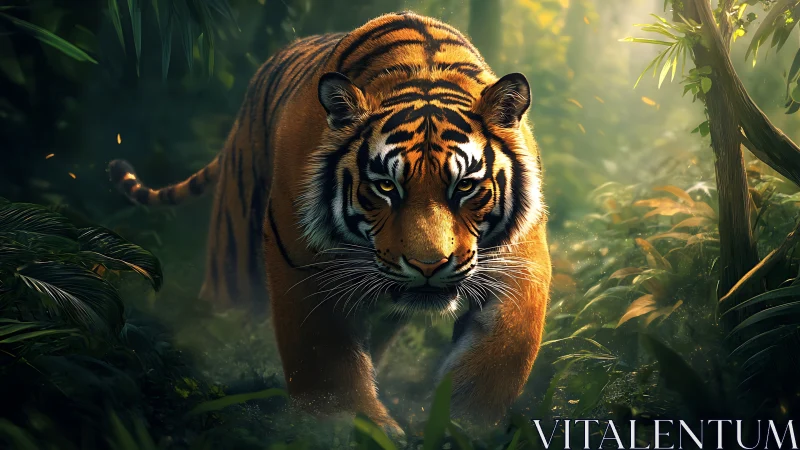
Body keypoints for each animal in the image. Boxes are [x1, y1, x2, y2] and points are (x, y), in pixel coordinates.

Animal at [109, 12, 551, 433]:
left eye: (465, 186)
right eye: (386, 186)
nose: (428, 266)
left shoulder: (520, 264)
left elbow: (500, 353)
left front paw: (464, 425)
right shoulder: (302, 263)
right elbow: (323, 356)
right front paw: (344, 423)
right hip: (231, 258)